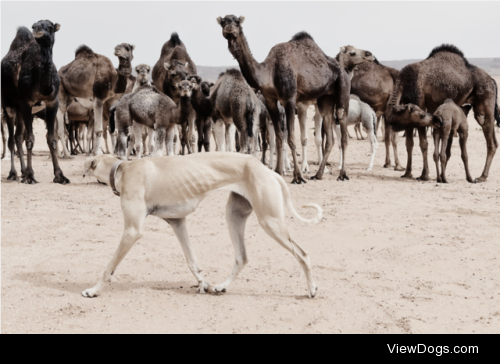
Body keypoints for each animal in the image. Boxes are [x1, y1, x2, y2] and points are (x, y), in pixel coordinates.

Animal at [1, 21, 69, 183]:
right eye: (34, 26)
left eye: (50, 26)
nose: (38, 30)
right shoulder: (27, 103)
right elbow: (30, 139)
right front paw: (30, 176)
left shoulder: (52, 103)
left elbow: (51, 139)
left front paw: (60, 175)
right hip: (8, 104)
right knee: (12, 139)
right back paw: (14, 174)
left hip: (20, 109)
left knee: (18, 137)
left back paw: (22, 171)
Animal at [219, 15, 356, 183]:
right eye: (223, 22)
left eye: (237, 22)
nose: (229, 29)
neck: (268, 72)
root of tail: (344, 71)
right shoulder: (271, 101)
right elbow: (279, 137)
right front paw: (278, 171)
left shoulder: (290, 99)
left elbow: (290, 138)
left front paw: (298, 176)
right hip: (325, 98)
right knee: (330, 135)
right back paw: (318, 174)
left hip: (343, 89)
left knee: (343, 129)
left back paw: (342, 174)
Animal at [386, 44, 500, 182]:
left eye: (422, 114)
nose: (434, 119)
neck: (404, 82)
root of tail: (492, 80)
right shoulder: (410, 115)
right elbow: (409, 144)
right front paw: (407, 173)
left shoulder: (419, 104)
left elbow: (423, 144)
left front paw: (424, 175)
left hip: (485, 102)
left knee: (490, 140)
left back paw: (482, 176)